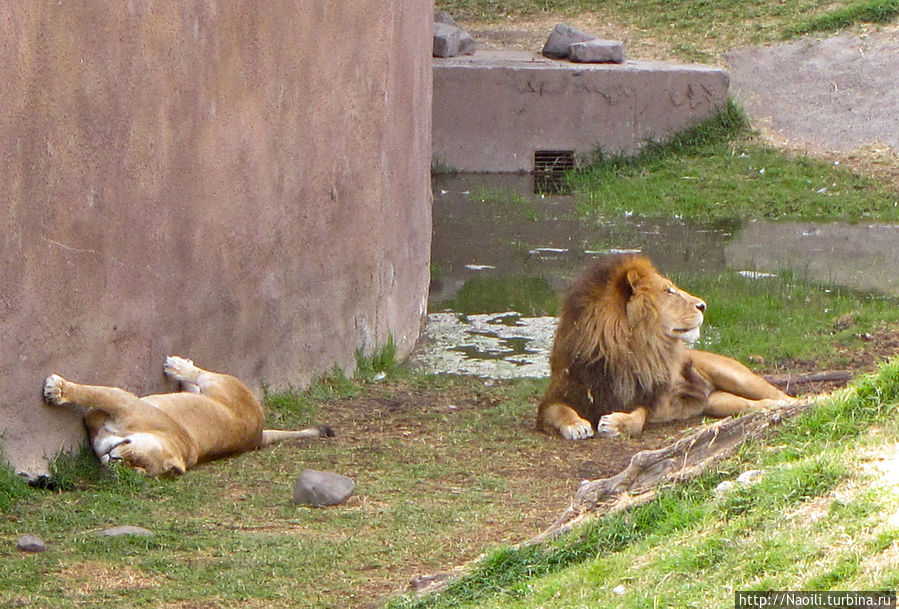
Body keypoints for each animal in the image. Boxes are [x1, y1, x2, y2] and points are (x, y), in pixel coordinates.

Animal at [43, 356, 334, 476]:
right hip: (220, 383)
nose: (113, 460)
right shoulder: (122, 400)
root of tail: (260, 432)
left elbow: (92, 409)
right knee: (200, 375)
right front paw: (56, 389)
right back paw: (178, 366)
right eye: (134, 455)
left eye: (137, 468)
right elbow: (92, 393)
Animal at [536, 254, 796, 440]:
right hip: (717, 402)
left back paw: (792, 403)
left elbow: (638, 418)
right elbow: (558, 411)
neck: (623, 350)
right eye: (668, 291)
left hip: (734, 375)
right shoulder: (557, 396)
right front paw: (576, 425)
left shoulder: (645, 398)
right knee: (749, 405)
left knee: (779, 394)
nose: (703, 305)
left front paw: (617, 424)